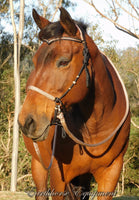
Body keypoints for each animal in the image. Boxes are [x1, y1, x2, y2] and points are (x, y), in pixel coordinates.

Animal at [18, 7, 130, 199]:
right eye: (34, 62)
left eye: (63, 61)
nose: (26, 121)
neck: (97, 127)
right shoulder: (58, 176)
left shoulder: (111, 173)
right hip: (38, 164)